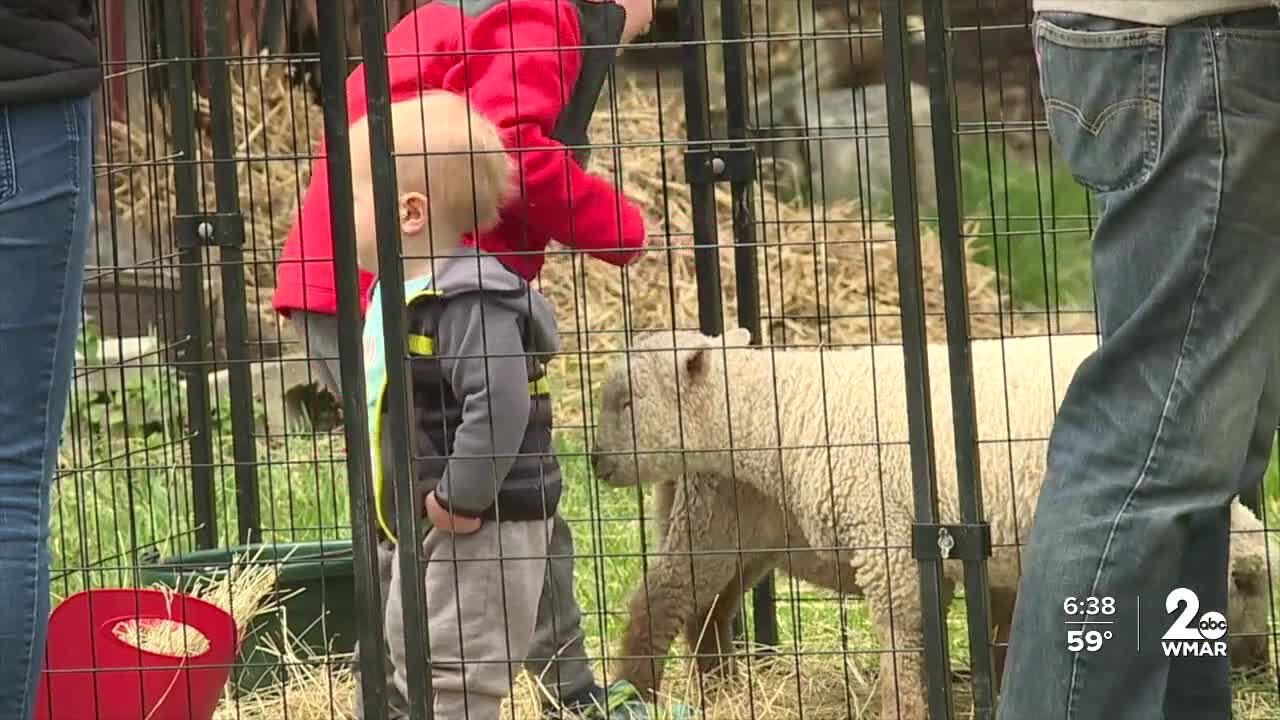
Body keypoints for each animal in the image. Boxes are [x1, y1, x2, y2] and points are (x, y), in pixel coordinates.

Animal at [593, 330, 1274, 717]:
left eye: (624, 400)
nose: (1257, 667)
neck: (792, 409)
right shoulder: (892, 546)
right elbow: (908, 638)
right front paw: (914, 706)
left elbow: (993, 629)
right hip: (716, 520)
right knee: (662, 602)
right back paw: (637, 696)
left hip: (738, 523)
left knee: (707, 606)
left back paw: (722, 690)